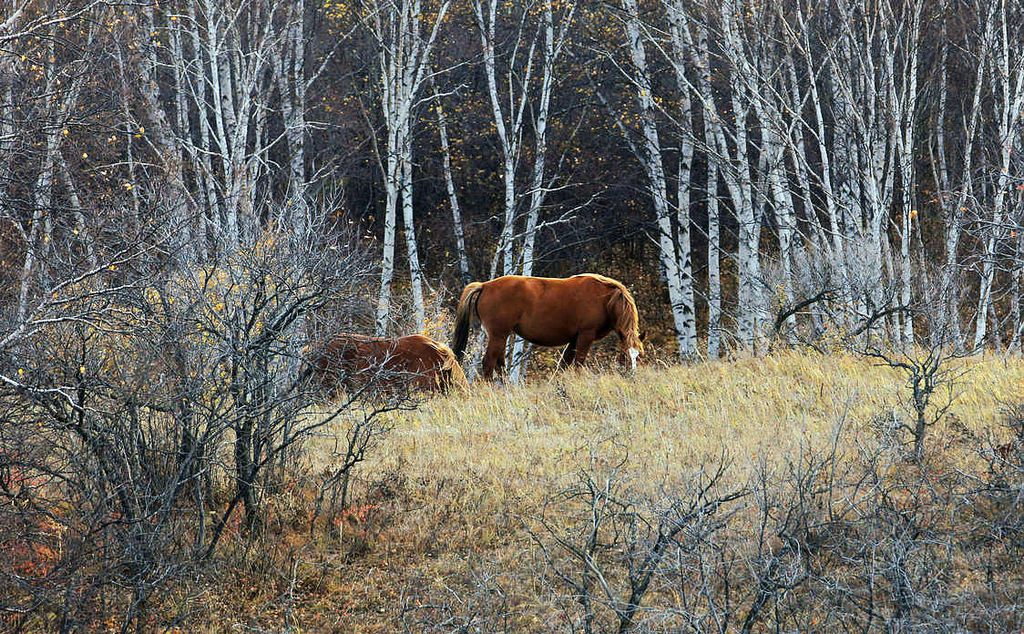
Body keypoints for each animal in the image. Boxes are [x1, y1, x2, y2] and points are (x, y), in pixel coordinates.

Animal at [452, 274, 643, 381]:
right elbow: (578, 365)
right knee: (488, 363)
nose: (632, 376)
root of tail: (484, 285)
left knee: (499, 365)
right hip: (498, 335)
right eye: (625, 356)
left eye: (637, 356)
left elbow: (563, 366)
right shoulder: (585, 336)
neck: (605, 299)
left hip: (500, 336)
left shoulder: (573, 340)